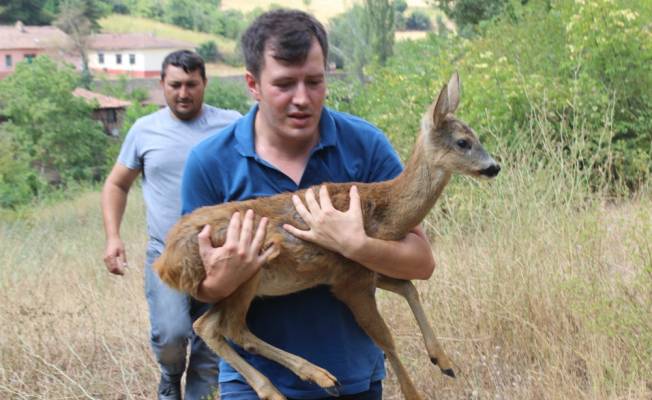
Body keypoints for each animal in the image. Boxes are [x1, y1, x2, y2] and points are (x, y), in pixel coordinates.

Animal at [153, 72, 500, 400]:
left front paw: (443, 361)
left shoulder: (361, 269)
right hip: (247, 268)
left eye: (475, 136)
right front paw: (415, 393)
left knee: (208, 325)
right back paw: (312, 378)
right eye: (463, 142)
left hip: (235, 284)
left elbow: (409, 286)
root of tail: (167, 261)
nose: (494, 167)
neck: (384, 217)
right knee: (231, 327)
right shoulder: (350, 279)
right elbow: (386, 339)